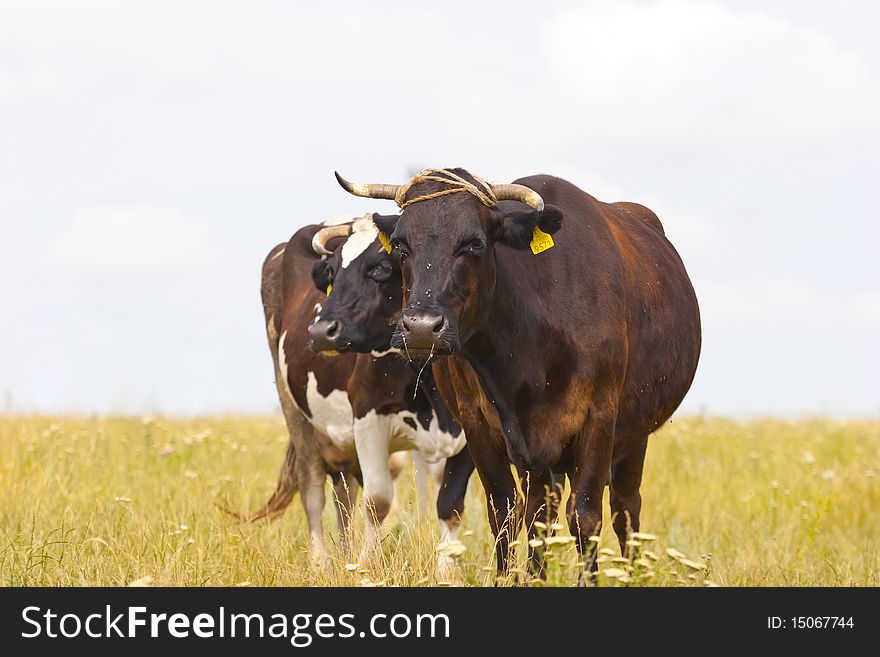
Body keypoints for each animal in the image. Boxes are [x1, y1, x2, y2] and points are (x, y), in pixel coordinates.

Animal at [336, 168, 700, 576]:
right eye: (400, 245)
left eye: (474, 243)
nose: (421, 328)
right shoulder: (479, 424)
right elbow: (506, 513)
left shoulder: (601, 416)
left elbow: (586, 516)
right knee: (541, 514)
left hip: (634, 435)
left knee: (625, 509)